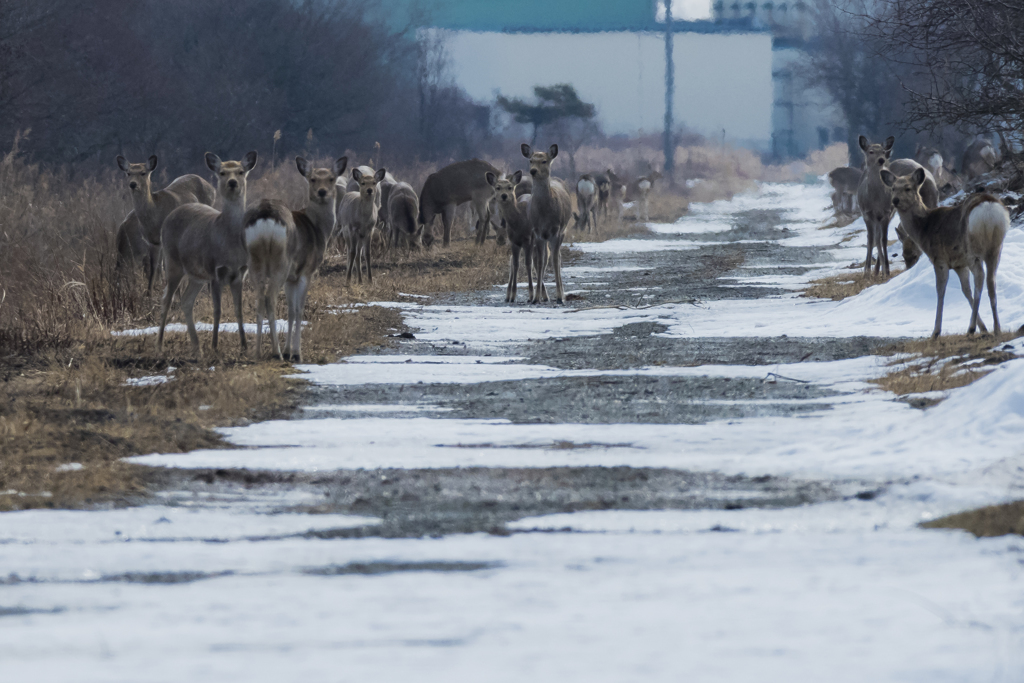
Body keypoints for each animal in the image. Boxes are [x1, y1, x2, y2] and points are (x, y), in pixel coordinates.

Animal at [157, 152, 260, 358]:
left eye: (241, 171)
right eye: (222, 172)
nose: (232, 183)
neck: (230, 245)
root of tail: (169, 216)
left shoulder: (240, 273)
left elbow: (239, 310)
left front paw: (244, 346)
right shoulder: (215, 271)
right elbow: (217, 310)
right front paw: (215, 345)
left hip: (196, 275)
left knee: (186, 300)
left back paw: (197, 346)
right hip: (172, 262)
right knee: (167, 299)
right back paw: (160, 345)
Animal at [243, 152, 348, 360]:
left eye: (331, 179)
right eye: (312, 179)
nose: (322, 192)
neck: (319, 229)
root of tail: (265, 216)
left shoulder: (291, 278)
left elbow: (291, 311)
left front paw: (289, 350)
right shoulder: (306, 271)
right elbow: (299, 310)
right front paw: (297, 353)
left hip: (254, 260)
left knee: (259, 298)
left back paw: (258, 352)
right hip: (280, 261)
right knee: (269, 299)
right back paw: (276, 352)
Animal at [487, 169, 536, 303]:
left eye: (510, 187)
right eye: (497, 187)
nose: (504, 195)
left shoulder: (529, 240)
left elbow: (528, 264)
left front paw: (531, 295)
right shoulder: (514, 242)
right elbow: (515, 264)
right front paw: (512, 295)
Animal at [524, 143, 573, 305]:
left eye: (544, 161)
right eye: (531, 160)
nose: (533, 171)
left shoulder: (556, 231)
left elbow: (555, 261)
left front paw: (559, 297)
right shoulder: (538, 232)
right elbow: (540, 262)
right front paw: (536, 298)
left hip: (563, 231)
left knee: (557, 258)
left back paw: (561, 295)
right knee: (545, 259)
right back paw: (542, 296)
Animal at [884, 167, 1011, 339]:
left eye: (907, 188)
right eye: (892, 188)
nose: (895, 200)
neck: (924, 229)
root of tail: (988, 207)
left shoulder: (940, 259)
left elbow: (940, 290)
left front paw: (936, 332)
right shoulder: (959, 264)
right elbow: (965, 290)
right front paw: (984, 327)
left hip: (972, 249)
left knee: (980, 276)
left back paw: (971, 328)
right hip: (996, 247)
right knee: (991, 281)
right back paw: (997, 328)